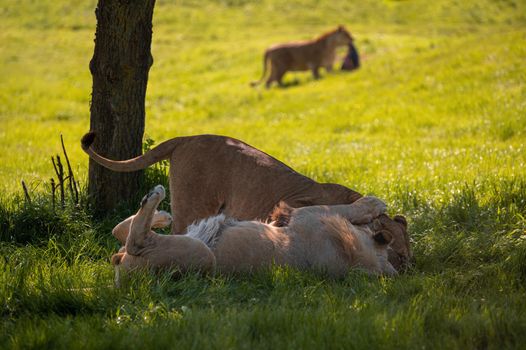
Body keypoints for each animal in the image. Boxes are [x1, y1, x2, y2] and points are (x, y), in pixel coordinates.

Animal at [80, 133, 414, 270]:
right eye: (400, 255)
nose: (407, 273)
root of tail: (186, 138)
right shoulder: (291, 209)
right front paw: (374, 204)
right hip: (192, 207)